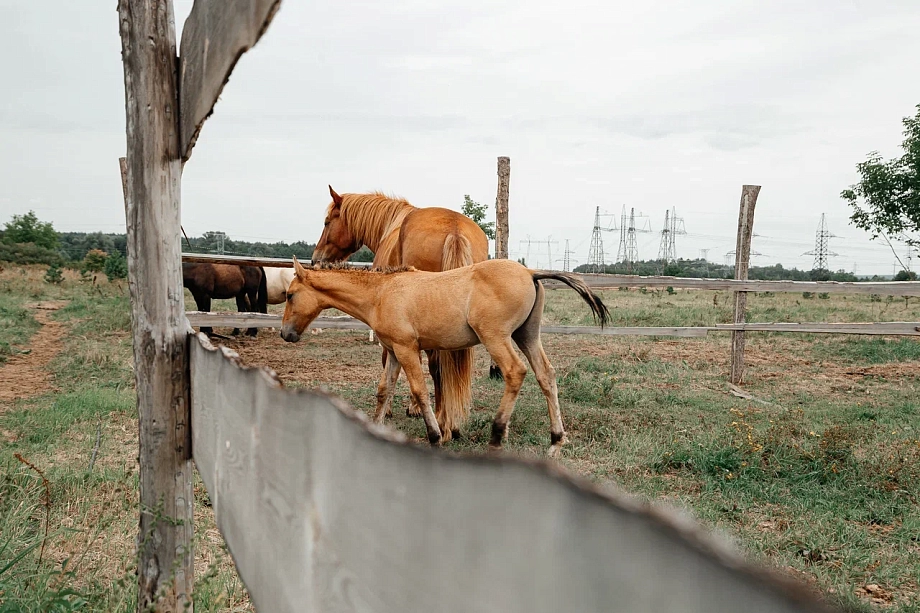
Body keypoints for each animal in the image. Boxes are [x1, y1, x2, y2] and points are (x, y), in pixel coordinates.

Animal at [280, 256, 612, 454]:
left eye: (289, 295)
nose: (286, 334)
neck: (382, 293)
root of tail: (530, 272)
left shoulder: (407, 349)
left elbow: (419, 391)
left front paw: (435, 436)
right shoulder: (394, 351)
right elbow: (384, 390)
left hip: (496, 337)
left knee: (515, 372)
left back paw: (497, 435)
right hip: (527, 336)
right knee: (547, 375)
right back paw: (556, 440)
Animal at [310, 186, 492, 440]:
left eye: (327, 222)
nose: (316, 259)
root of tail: (454, 230)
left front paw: (395, 408)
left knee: (436, 366)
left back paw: (443, 422)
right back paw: (451, 423)